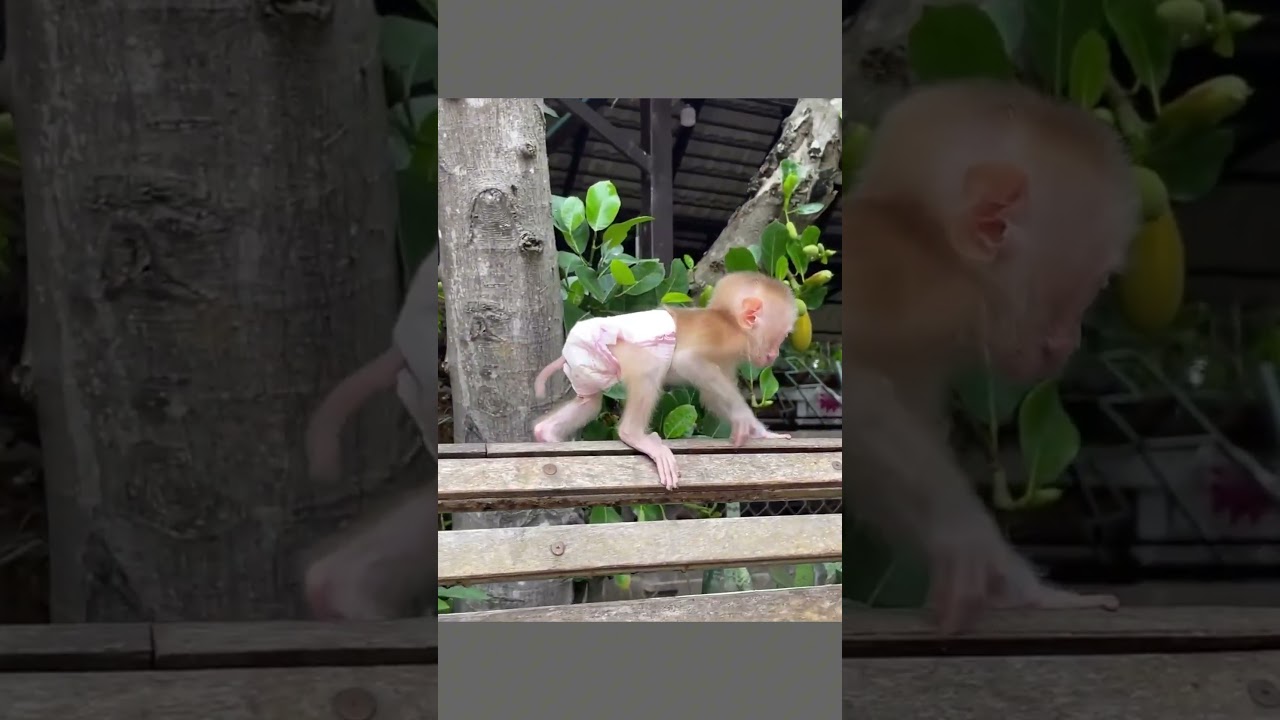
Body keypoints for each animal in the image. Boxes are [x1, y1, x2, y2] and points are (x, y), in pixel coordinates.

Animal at [533, 271, 796, 489]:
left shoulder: (729, 358)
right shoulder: (726, 338)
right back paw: (634, 435)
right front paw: (744, 419)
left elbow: (711, 395)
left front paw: (758, 431)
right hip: (612, 348)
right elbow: (687, 361)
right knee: (649, 370)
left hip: (588, 366)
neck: (729, 320)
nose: (774, 354)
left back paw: (546, 433)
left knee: (590, 402)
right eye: (781, 336)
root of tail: (569, 348)